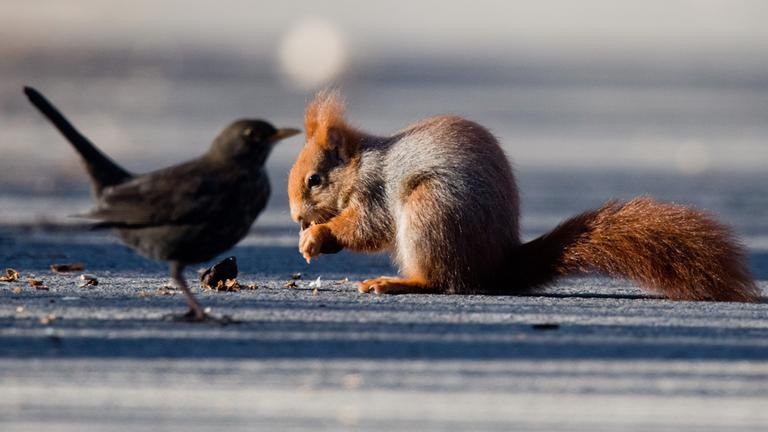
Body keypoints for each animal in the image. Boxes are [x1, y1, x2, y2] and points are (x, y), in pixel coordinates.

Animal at [287, 90, 759, 302]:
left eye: (315, 179)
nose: (295, 218)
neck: (362, 164)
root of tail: (497, 264)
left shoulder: (377, 191)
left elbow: (367, 227)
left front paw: (318, 236)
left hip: (430, 210)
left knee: (444, 281)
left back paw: (396, 283)